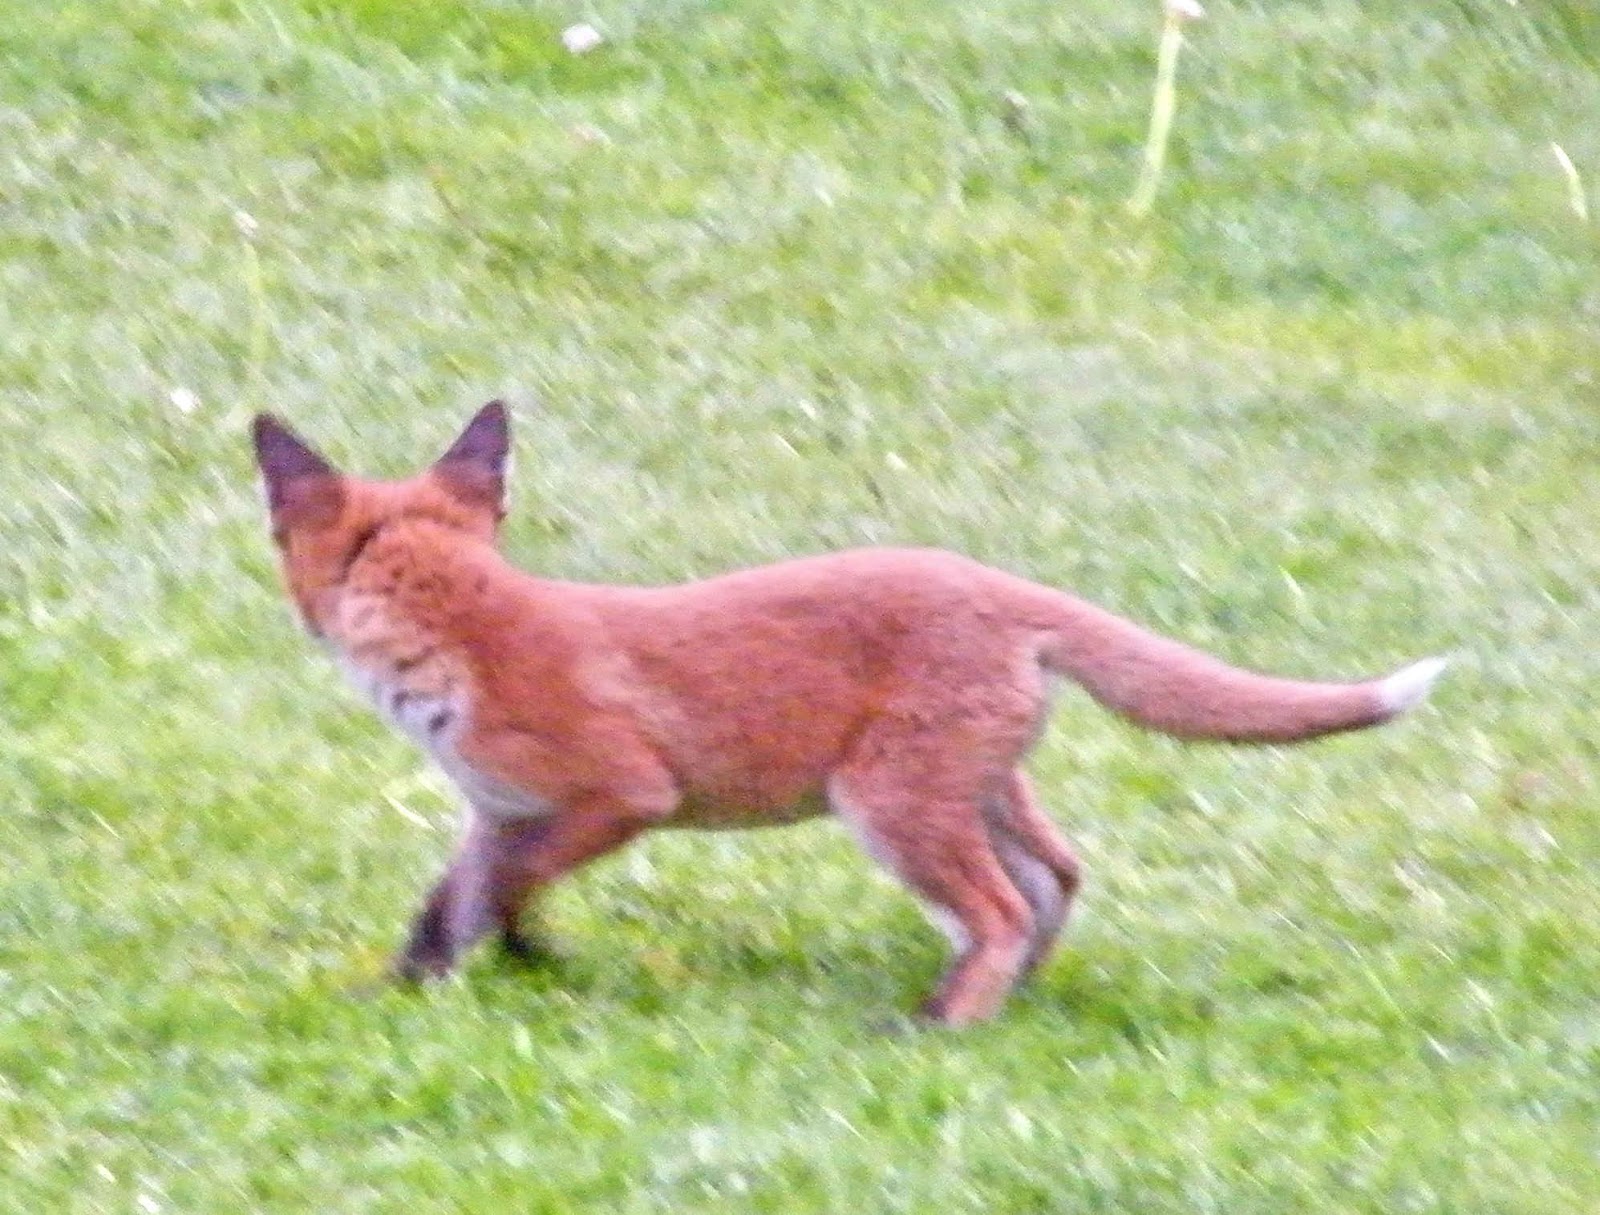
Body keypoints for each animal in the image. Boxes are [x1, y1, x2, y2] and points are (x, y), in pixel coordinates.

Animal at [252, 401, 1446, 1026]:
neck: (462, 627)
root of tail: (997, 583)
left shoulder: (622, 794)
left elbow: (505, 896)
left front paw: (518, 963)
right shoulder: (495, 811)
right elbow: (447, 907)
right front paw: (406, 988)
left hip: (890, 806)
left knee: (1000, 911)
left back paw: (939, 1029)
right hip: (978, 790)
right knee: (1055, 883)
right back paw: (1009, 1003)